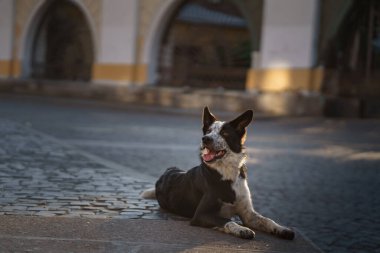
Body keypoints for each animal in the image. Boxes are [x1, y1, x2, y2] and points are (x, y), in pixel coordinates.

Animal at [141, 106, 296, 239]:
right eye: (208, 131)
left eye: (224, 133)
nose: (205, 139)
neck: (226, 173)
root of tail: (165, 174)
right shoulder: (200, 215)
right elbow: (226, 221)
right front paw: (242, 229)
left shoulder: (248, 214)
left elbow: (267, 220)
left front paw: (283, 229)